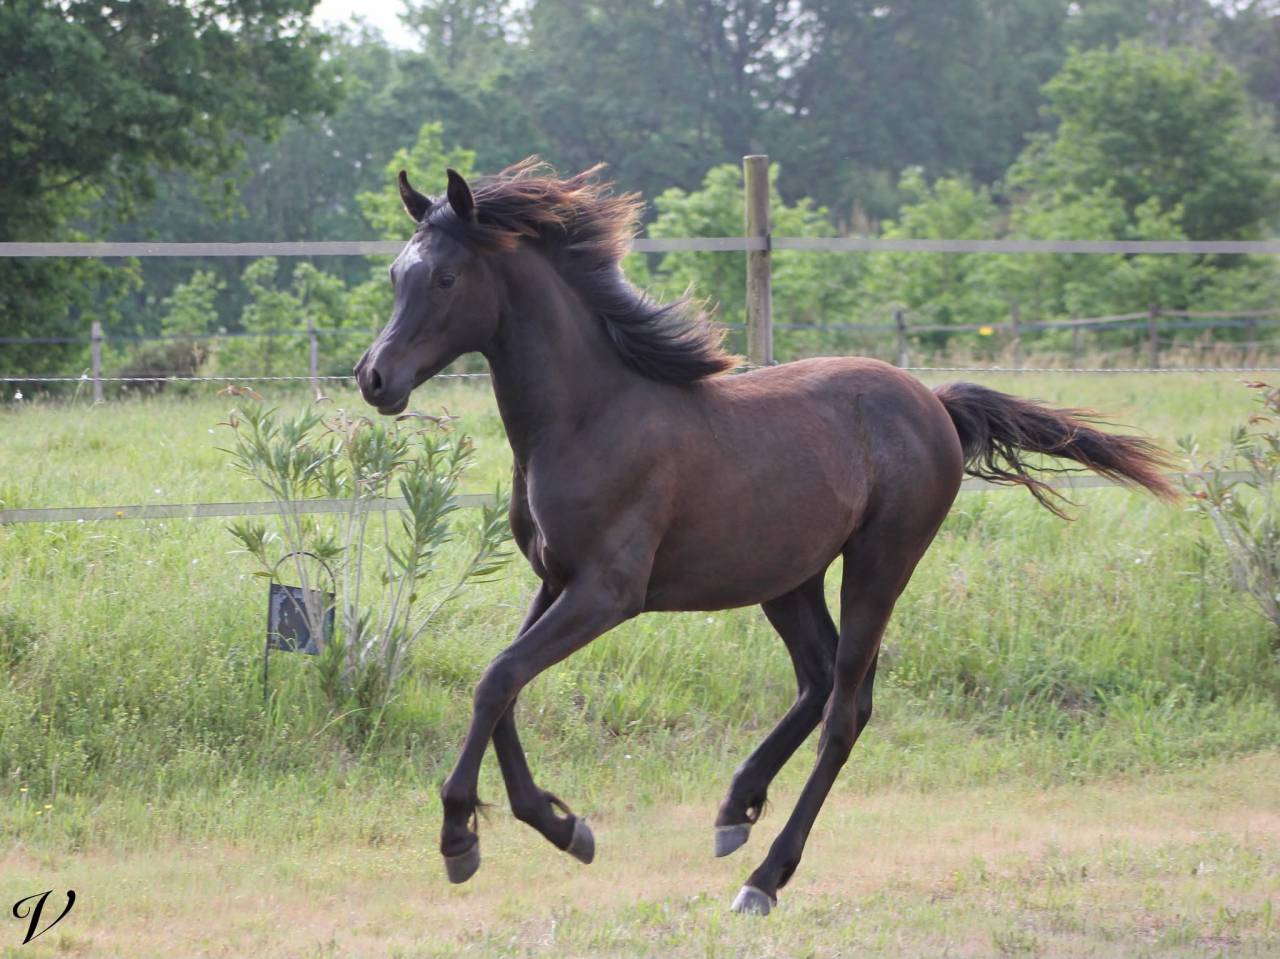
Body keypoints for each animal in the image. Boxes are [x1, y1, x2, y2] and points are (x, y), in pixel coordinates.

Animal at [354, 159, 1175, 914]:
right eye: (396, 274)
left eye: (446, 278)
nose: (374, 378)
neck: (588, 416)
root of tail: (934, 401)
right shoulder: (555, 580)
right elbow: (503, 684)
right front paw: (561, 825)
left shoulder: (607, 592)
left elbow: (498, 678)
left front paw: (460, 837)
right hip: (789, 577)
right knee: (817, 679)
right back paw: (734, 808)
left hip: (881, 562)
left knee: (846, 709)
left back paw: (764, 877)